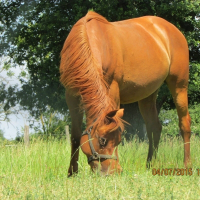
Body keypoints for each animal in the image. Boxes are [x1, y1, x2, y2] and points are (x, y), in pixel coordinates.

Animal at [60, 11, 191, 177]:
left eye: (118, 140)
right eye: (102, 140)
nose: (115, 171)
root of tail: (173, 29)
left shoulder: (113, 89)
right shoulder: (71, 95)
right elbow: (75, 136)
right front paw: (72, 173)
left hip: (179, 85)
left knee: (184, 123)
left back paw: (187, 165)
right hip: (148, 94)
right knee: (154, 127)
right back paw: (150, 165)